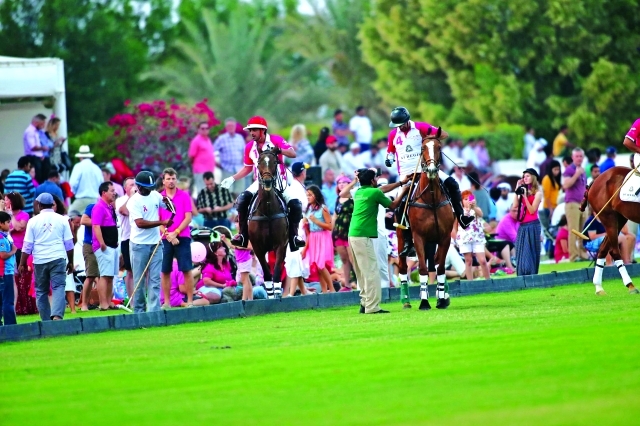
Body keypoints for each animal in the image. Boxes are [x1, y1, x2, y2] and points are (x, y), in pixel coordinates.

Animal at [249, 148, 288, 298]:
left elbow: (276, 271)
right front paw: (271, 295)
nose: (266, 181)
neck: (267, 212)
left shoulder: (281, 244)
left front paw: (277, 294)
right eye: (259, 162)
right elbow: (266, 273)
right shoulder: (257, 248)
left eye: (274, 162)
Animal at [396, 136, 456, 310]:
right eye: (422, 148)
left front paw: (441, 299)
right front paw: (424, 302)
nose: (431, 170)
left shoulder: (445, 237)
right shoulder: (418, 237)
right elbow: (422, 269)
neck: (431, 199)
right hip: (401, 237)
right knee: (403, 266)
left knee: (434, 264)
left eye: (439, 147)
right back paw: (406, 301)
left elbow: (440, 268)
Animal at [580, 165, 640, 294]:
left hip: (620, 218)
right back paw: (630, 285)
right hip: (608, 217)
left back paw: (598, 287)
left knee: (603, 249)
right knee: (614, 251)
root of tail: (595, 181)